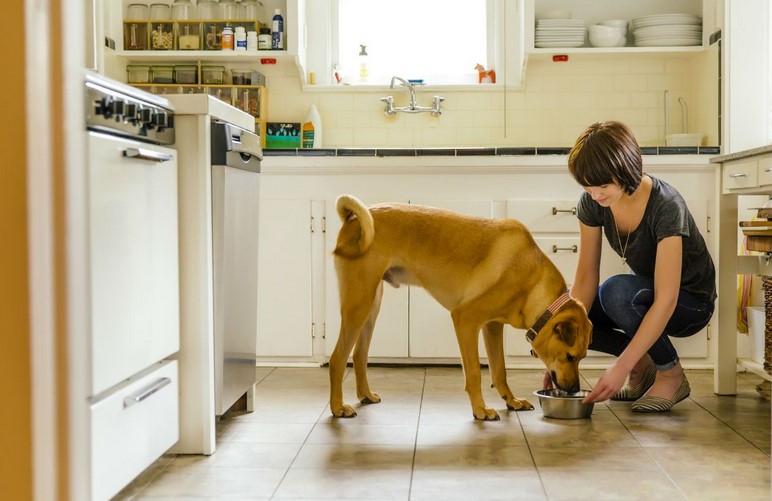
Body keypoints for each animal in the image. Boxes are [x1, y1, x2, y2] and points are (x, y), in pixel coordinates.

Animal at [330, 193, 592, 420]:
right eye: (569, 356)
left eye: (582, 357)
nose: (573, 390)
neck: (531, 280)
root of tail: (354, 218)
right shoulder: (465, 320)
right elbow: (475, 372)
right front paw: (481, 410)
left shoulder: (492, 327)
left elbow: (500, 369)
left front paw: (511, 401)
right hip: (358, 304)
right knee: (337, 359)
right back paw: (337, 407)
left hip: (371, 306)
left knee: (359, 355)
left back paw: (365, 395)